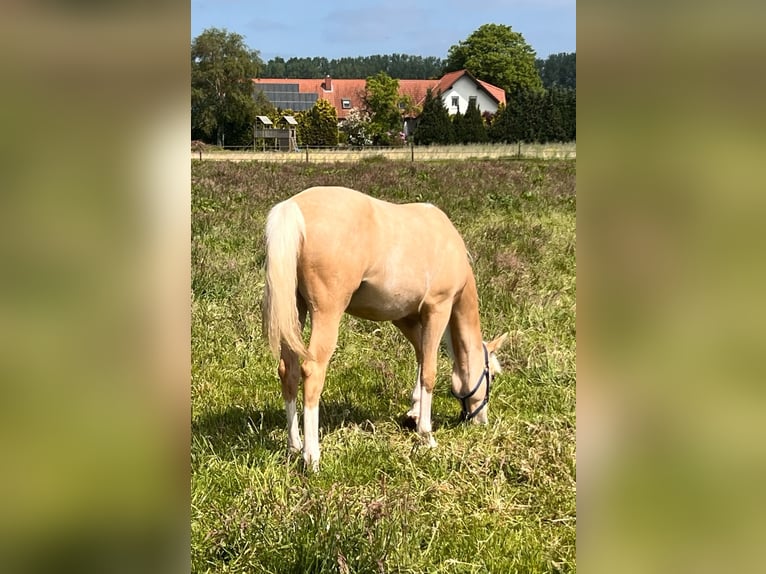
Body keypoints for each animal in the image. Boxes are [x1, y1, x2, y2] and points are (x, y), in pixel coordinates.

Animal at [264, 187, 510, 470]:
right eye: (492, 376)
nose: (481, 421)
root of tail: (293, 207)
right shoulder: (438, 308)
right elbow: (429, 371)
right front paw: (426, 434)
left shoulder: (405, 317)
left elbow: (421, 357)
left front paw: (414, 413)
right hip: (325, 314)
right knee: (312, 371)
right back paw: (311, 456)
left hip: (294, 311)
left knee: (289, 371)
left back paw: (294, 446)